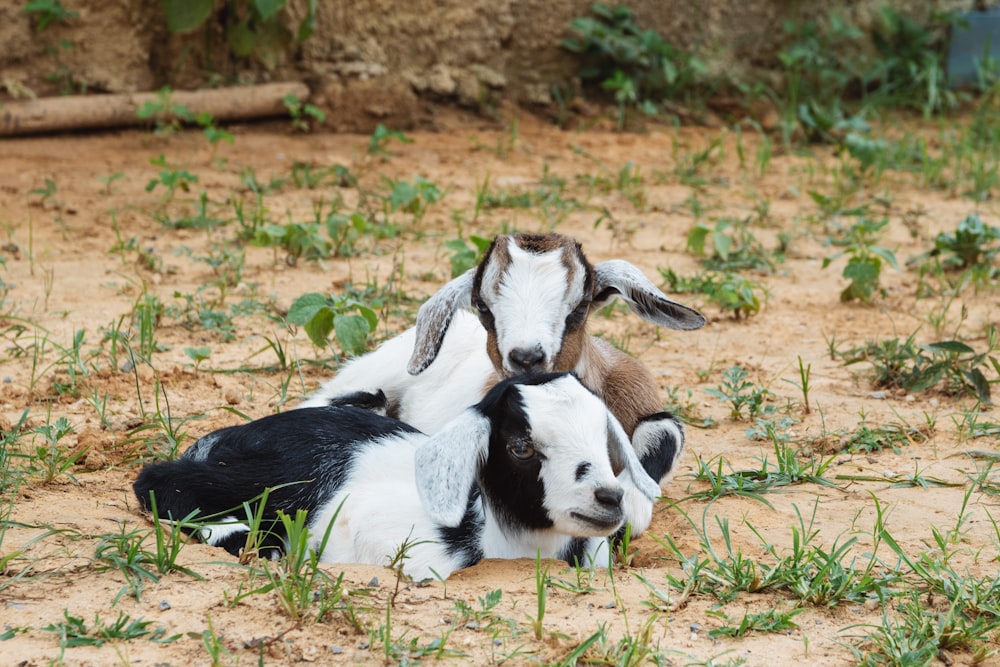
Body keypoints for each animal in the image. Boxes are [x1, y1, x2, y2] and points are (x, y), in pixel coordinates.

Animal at [135, 374, 664, 580]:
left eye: (604, 438)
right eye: (521, 447)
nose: (608, 497)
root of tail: (223, 438)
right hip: (265, 477)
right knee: (160, 481)